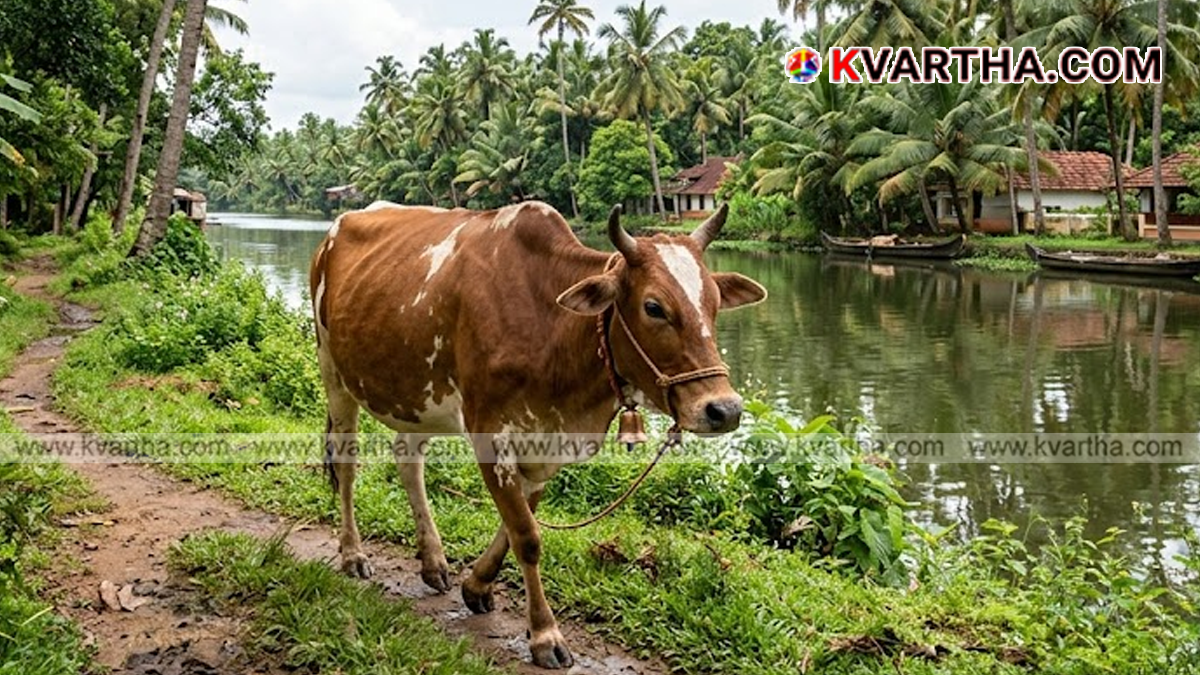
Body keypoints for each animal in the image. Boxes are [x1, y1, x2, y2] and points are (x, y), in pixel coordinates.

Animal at [309, 200, 766, 668]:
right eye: (654, 307)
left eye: (714, 303)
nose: (724, 409)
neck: (551, 325)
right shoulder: (489, 435)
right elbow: (527, 536)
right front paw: (545, 635)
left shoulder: (544, 442)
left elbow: (516, 525)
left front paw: (476, 585)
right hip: (333, 371)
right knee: (346, 466)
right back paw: (353, 554)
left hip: (416, 398)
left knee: (408, 459)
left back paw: (433, 562)